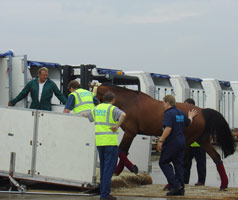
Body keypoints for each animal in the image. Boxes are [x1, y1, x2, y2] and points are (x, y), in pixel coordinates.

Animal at [92, 83, 235, 189]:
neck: (129, 102)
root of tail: (201, 111)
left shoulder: (130, 133)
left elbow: (121, 151)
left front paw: (132, 168)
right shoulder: (130, 134)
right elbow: (124, 152)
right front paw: (118, 170)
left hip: (187, 141)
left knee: (183, 162)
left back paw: (172, 184)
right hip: (202, 140)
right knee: (216, 157)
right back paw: (223, 184)